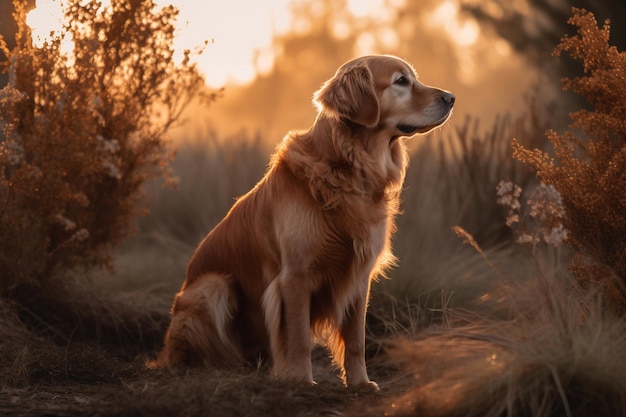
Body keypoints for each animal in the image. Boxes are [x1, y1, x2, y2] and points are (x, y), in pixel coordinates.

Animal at [151, 54, 454, 386]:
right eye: (401, 81)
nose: (451, 98)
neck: (346, 170)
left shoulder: (359, 276)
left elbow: (356, 340)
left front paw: (360, 383)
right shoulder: (295, 275)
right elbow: (298, 337)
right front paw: (302, 380)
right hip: (213, 286)